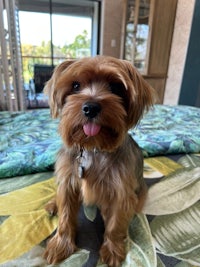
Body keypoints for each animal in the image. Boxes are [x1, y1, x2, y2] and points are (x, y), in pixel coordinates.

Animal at [43, 55, 153, 266]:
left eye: (116, 87)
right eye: (75, 85)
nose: (91, 107)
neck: (93, 148)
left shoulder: (121, 191)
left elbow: (116, 224)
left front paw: (112, 249)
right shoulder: (67, 181)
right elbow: (65, 216)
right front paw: (61, 244)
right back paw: (53, 204)